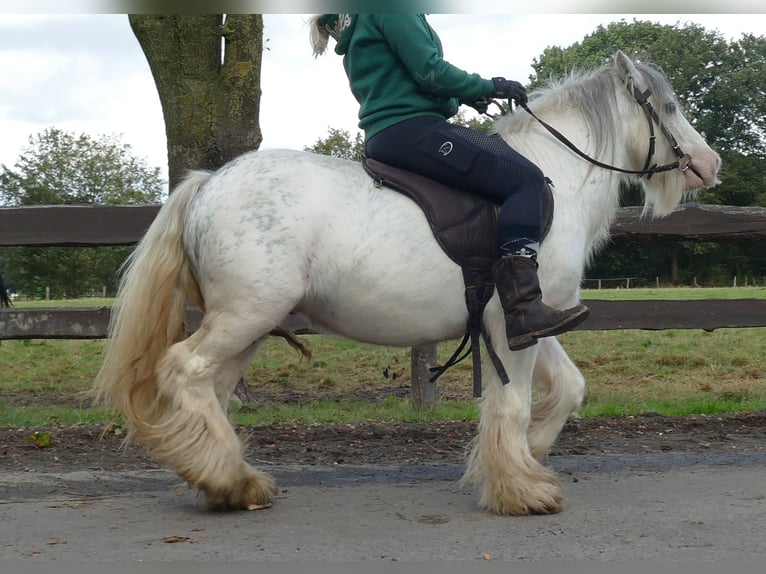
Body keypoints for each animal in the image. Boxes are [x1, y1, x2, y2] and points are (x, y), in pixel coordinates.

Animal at [93, 53, 724, 516]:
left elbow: (568, 387)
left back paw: (228, 480)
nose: (710, 163)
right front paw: (521, 487)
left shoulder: (532, 319)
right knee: (184, 371)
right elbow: (513, 404)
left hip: (246, 326)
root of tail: (207, 182)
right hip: (245, 316)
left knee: (212, 390)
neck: (557, 177)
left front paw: (528, 457)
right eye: (668, 106)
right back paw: (226, 478)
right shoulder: (509, 323)